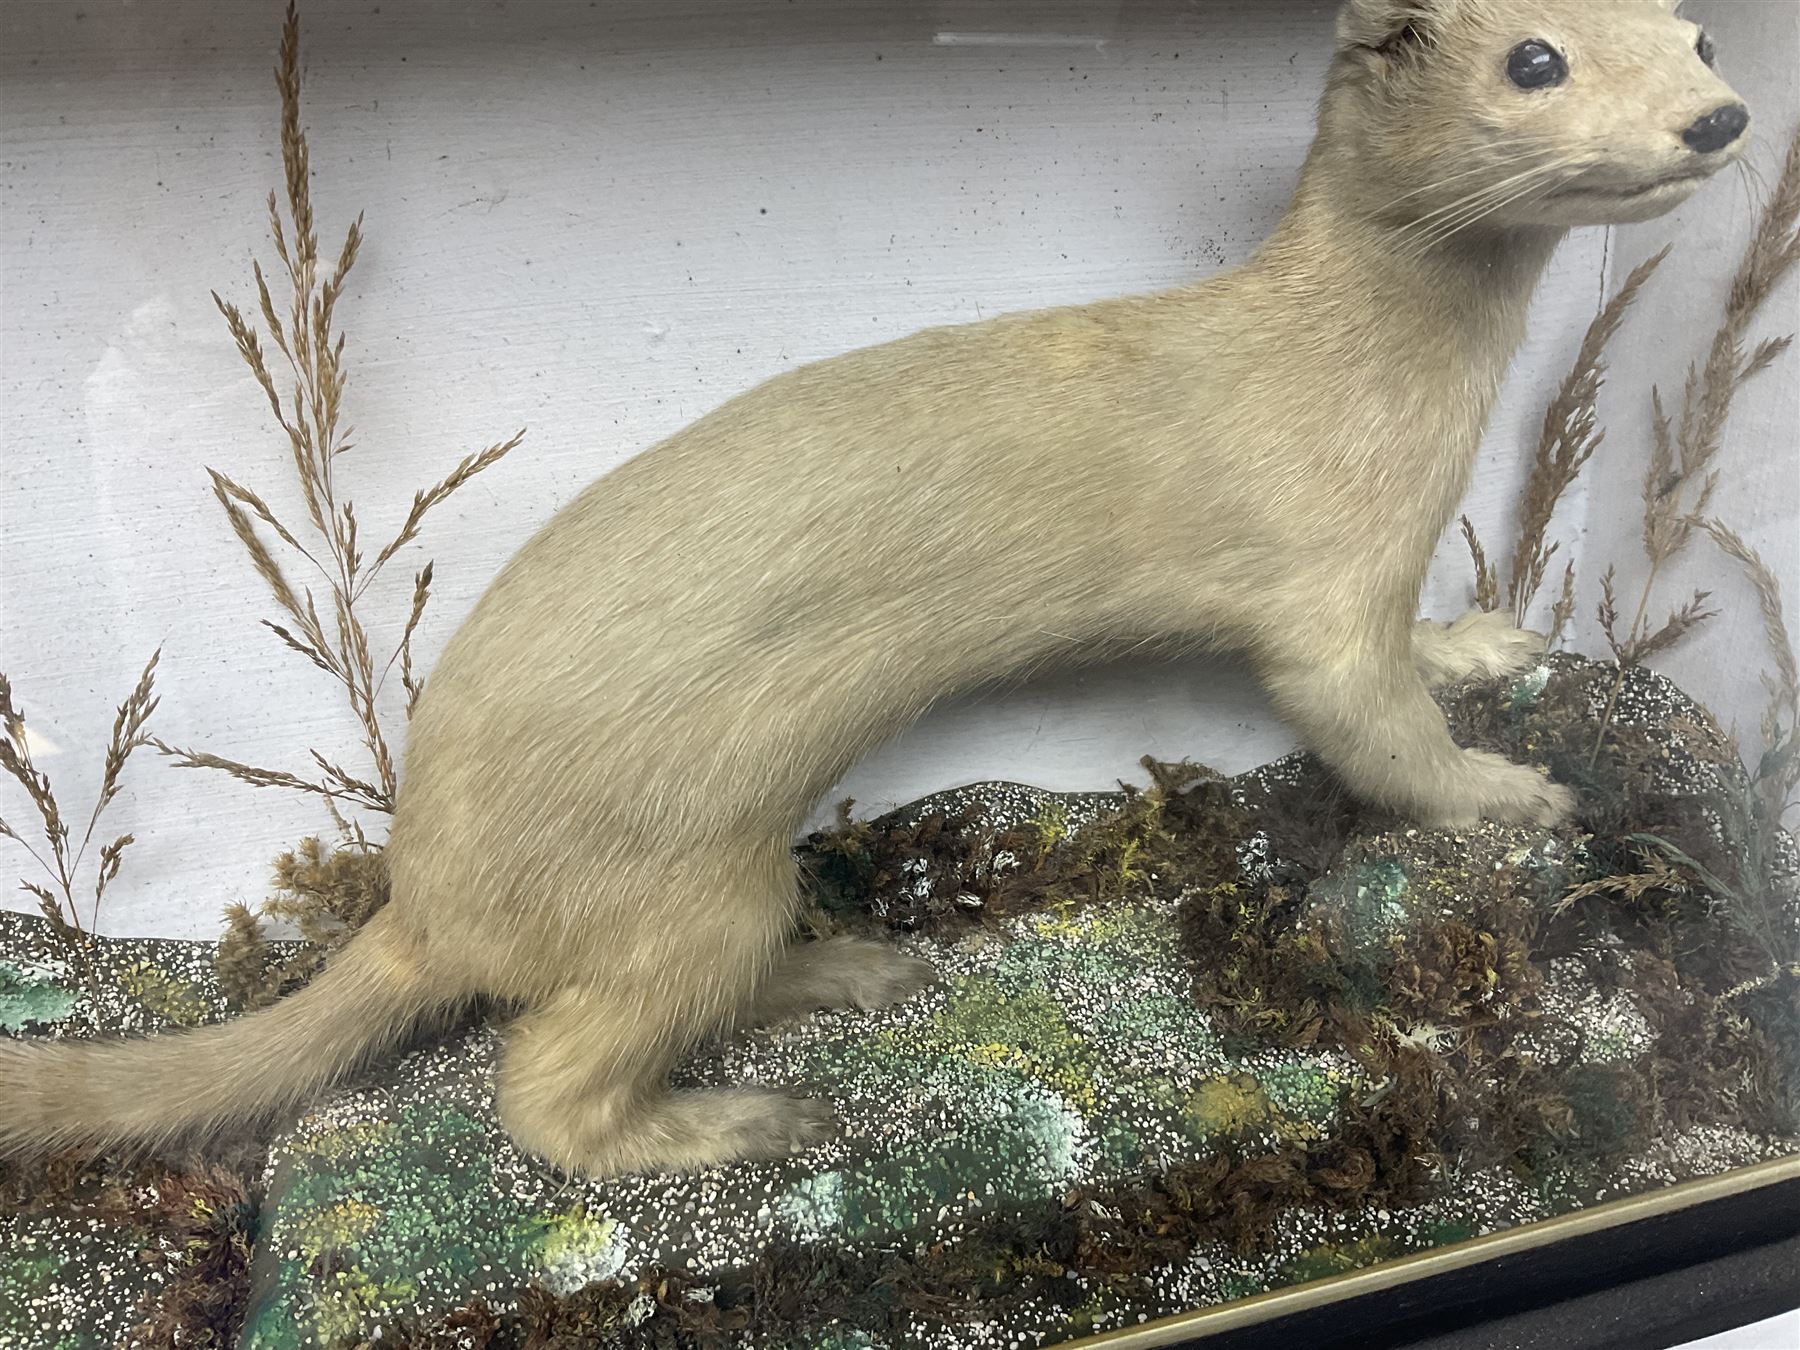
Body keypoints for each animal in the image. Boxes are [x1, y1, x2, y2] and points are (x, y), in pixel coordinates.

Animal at [1, 0, 1749, 1177]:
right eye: (1535, 58)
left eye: (1696, 26)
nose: (1726, 120)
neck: (1396, 393)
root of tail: (424, 892)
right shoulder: (1322, 584)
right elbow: (1365, 721)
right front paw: (1508, 792)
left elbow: (1420, 654)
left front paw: (1490, 640)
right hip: (678, 883)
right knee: (546, 1081)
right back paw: (728, 1117)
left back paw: (855, 960)